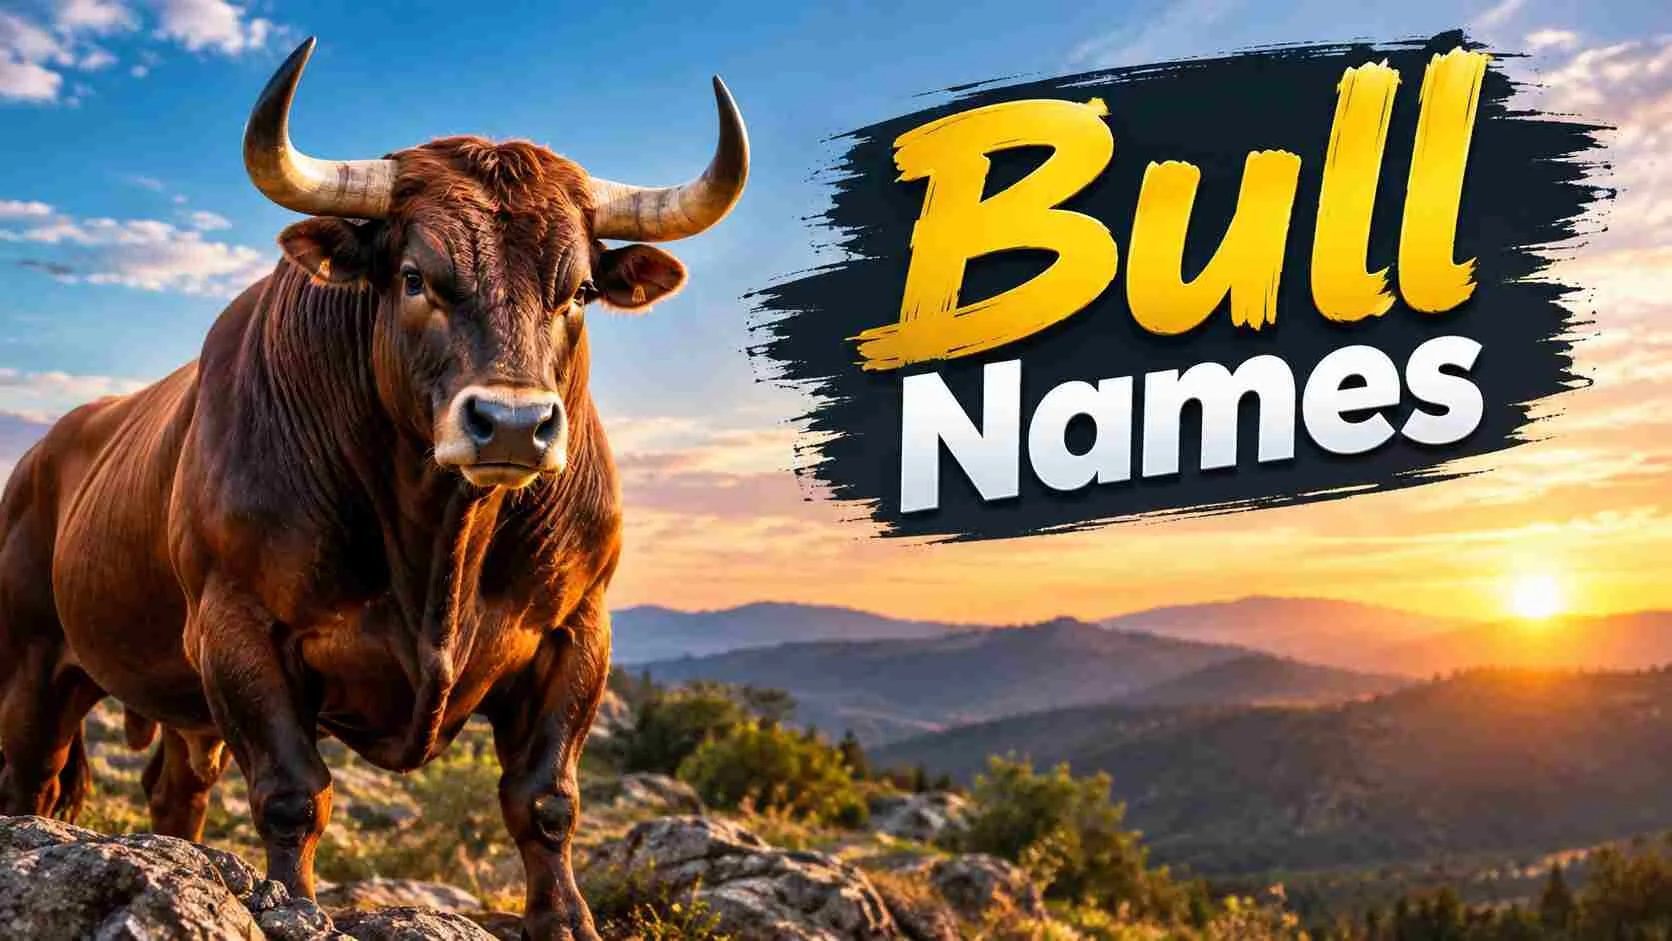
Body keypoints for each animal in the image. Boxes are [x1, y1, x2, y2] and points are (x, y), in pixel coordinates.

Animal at [0, 37, 746, 940]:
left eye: (577, 291)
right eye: (418, 276)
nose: (511, 423)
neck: (440, 544)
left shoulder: (578, 629)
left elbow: (545, 798)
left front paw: (564, 916)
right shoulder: (237, 626)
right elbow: (294, 793)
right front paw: (291, 901)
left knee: (175, 789)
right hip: (31, 661)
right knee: (29, 781)